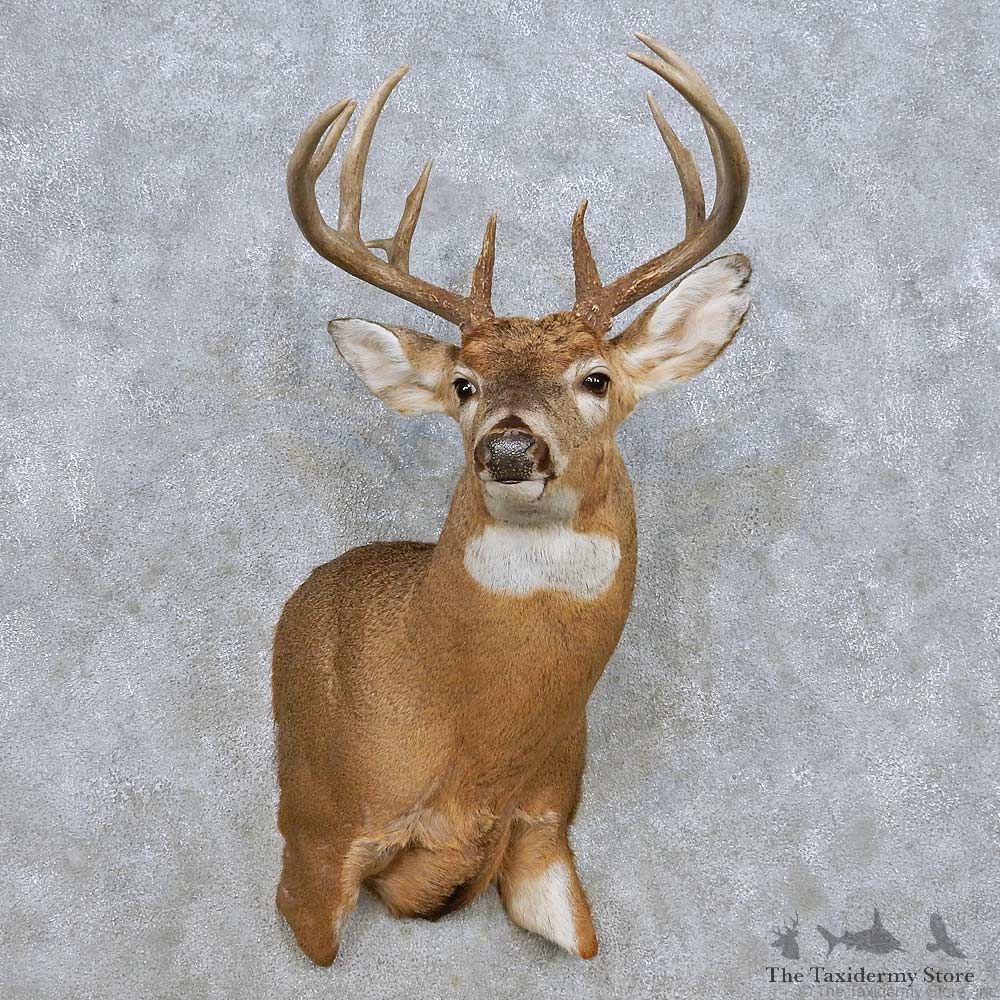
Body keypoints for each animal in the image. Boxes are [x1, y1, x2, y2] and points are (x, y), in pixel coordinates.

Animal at [274, 34, 751, 966]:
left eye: (596, 377)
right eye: (464, 384)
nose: (508, 447)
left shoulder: (548, 821)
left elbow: (580, 934)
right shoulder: (319, 830)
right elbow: (319, 928)